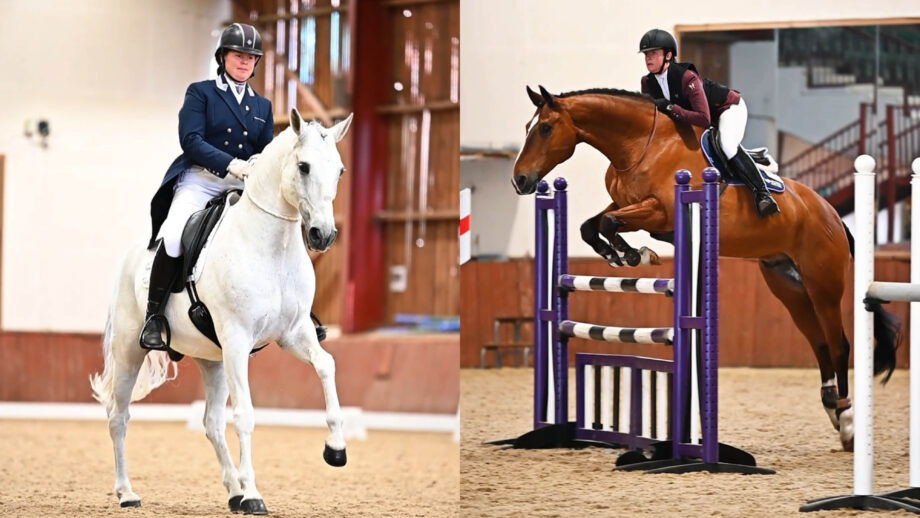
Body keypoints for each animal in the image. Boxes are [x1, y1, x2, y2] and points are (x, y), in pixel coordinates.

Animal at [90, 108, 352, 514]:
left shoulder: (294, 334)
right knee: (119, 416)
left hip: (212, 360)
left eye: (339, 170)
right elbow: (245, 416)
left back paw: (234, 491)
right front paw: (256, 495)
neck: (272, 248)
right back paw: (128, 493)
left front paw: (336, 448)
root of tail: (132, 256)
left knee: (211, 422)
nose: (323, 235)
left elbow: (327, 365)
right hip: (131, 350)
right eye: (304, 166)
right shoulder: (237, 341)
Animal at [512, 85, 900, 451]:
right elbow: (592, 226)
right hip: (789, 286)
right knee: (818, 342)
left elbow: (608, 222)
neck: (639, 146)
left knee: (838, 344)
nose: (521, 181)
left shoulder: (660, 213)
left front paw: (636, 255)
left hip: (823, 286)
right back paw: (832, 408)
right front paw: (622, 255)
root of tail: (831, 213)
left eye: (545, 128)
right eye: (528, 126)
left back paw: (847, 422)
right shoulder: (627, 206)